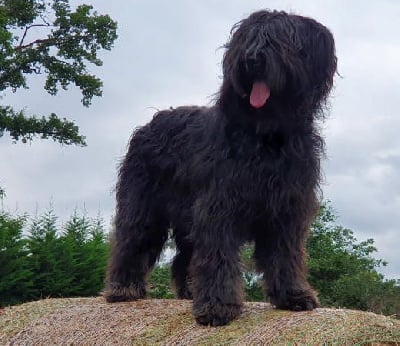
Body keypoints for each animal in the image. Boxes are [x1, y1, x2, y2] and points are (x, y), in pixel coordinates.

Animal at [104, 9, 338, 326]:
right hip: (143, 205)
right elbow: (218, 256)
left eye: (280, 39)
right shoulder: (219, 206)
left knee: (184, 259)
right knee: (132, 240)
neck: (265, 136)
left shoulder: (286, 209)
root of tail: (149, 123)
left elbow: (285, 254)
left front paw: (292, 295)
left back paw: (189, 292)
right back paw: (123, 288)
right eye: (246, 39)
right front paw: (217, 306)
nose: (251, 59)